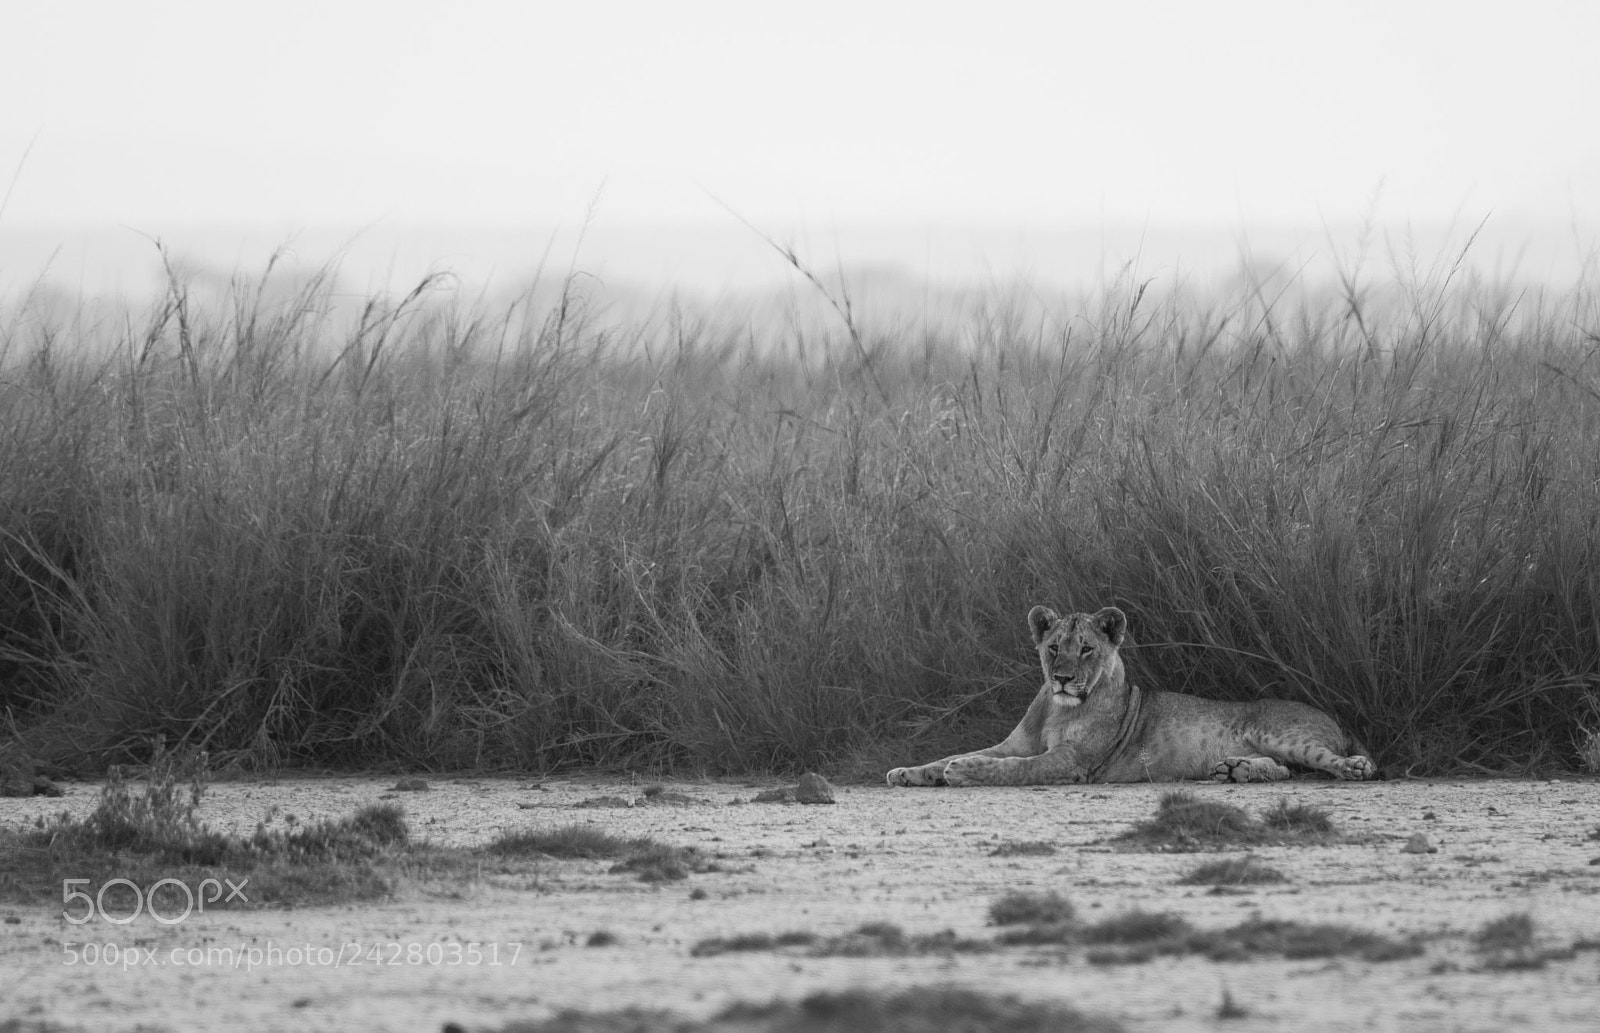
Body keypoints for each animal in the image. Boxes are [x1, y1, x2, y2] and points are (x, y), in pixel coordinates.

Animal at [886, 605, 1377, 787]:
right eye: (1053, 648)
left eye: (1086, 648)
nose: (1062, 678)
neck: (1057, 711)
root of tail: (1337, 721)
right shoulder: (1016, 743)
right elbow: (952, 756)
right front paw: (908, 772)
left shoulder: (1074, 762)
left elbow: (1012, 768)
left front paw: (963, 770)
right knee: (1286, 770)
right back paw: (1234, 769)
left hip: (1278, 732)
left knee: (1334, 762)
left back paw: (1354, 767)